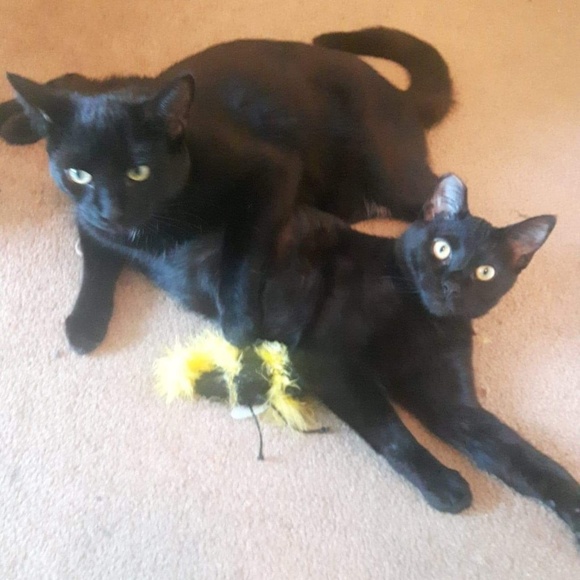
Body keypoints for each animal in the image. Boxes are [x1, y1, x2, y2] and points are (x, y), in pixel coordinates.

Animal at [0, 27, 452, 352]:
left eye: (138, 172)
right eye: (79, 175)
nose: (111, 210)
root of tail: (398, 97)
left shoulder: (273, 170)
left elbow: (242, 249)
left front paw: (237, 322)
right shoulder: (87, 218)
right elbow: (96, 262)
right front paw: (85, 320)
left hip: (393, 180)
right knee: (76, 81)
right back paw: (22, 118)